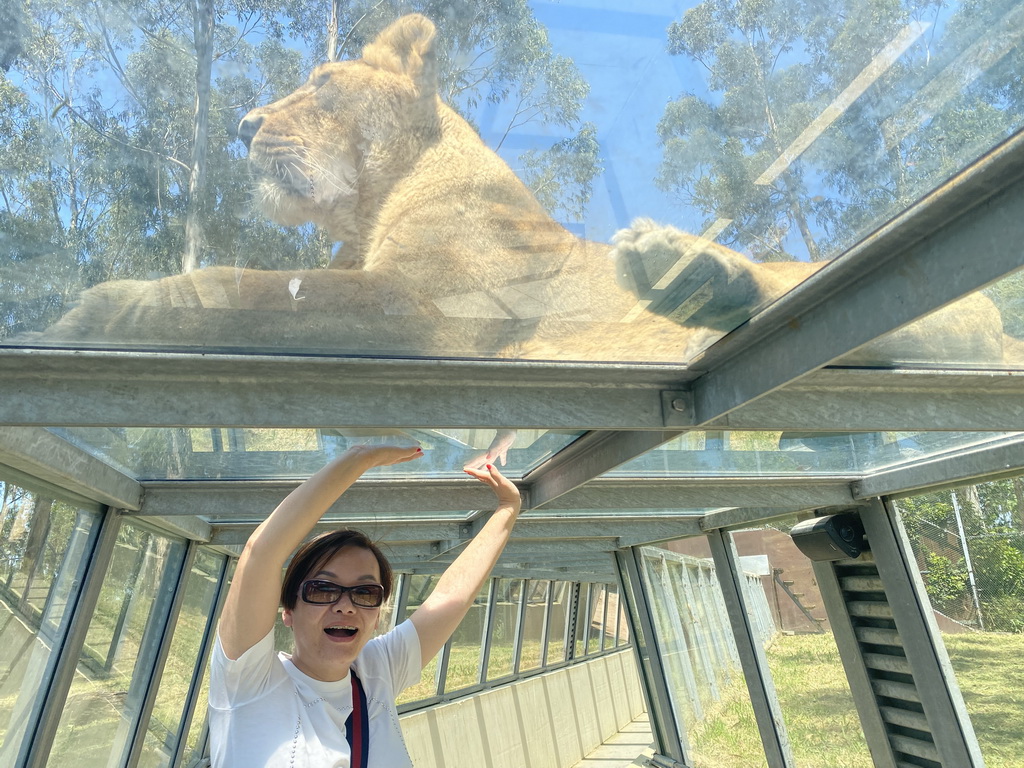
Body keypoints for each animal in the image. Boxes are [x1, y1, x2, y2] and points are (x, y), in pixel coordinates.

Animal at [25, 13, 1015, 368]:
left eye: (322, 84)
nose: (239, 124)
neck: (376, 200)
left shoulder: (427, 310)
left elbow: (235, 288)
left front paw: (91, 311)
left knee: (802, 295)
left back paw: (687, 276)